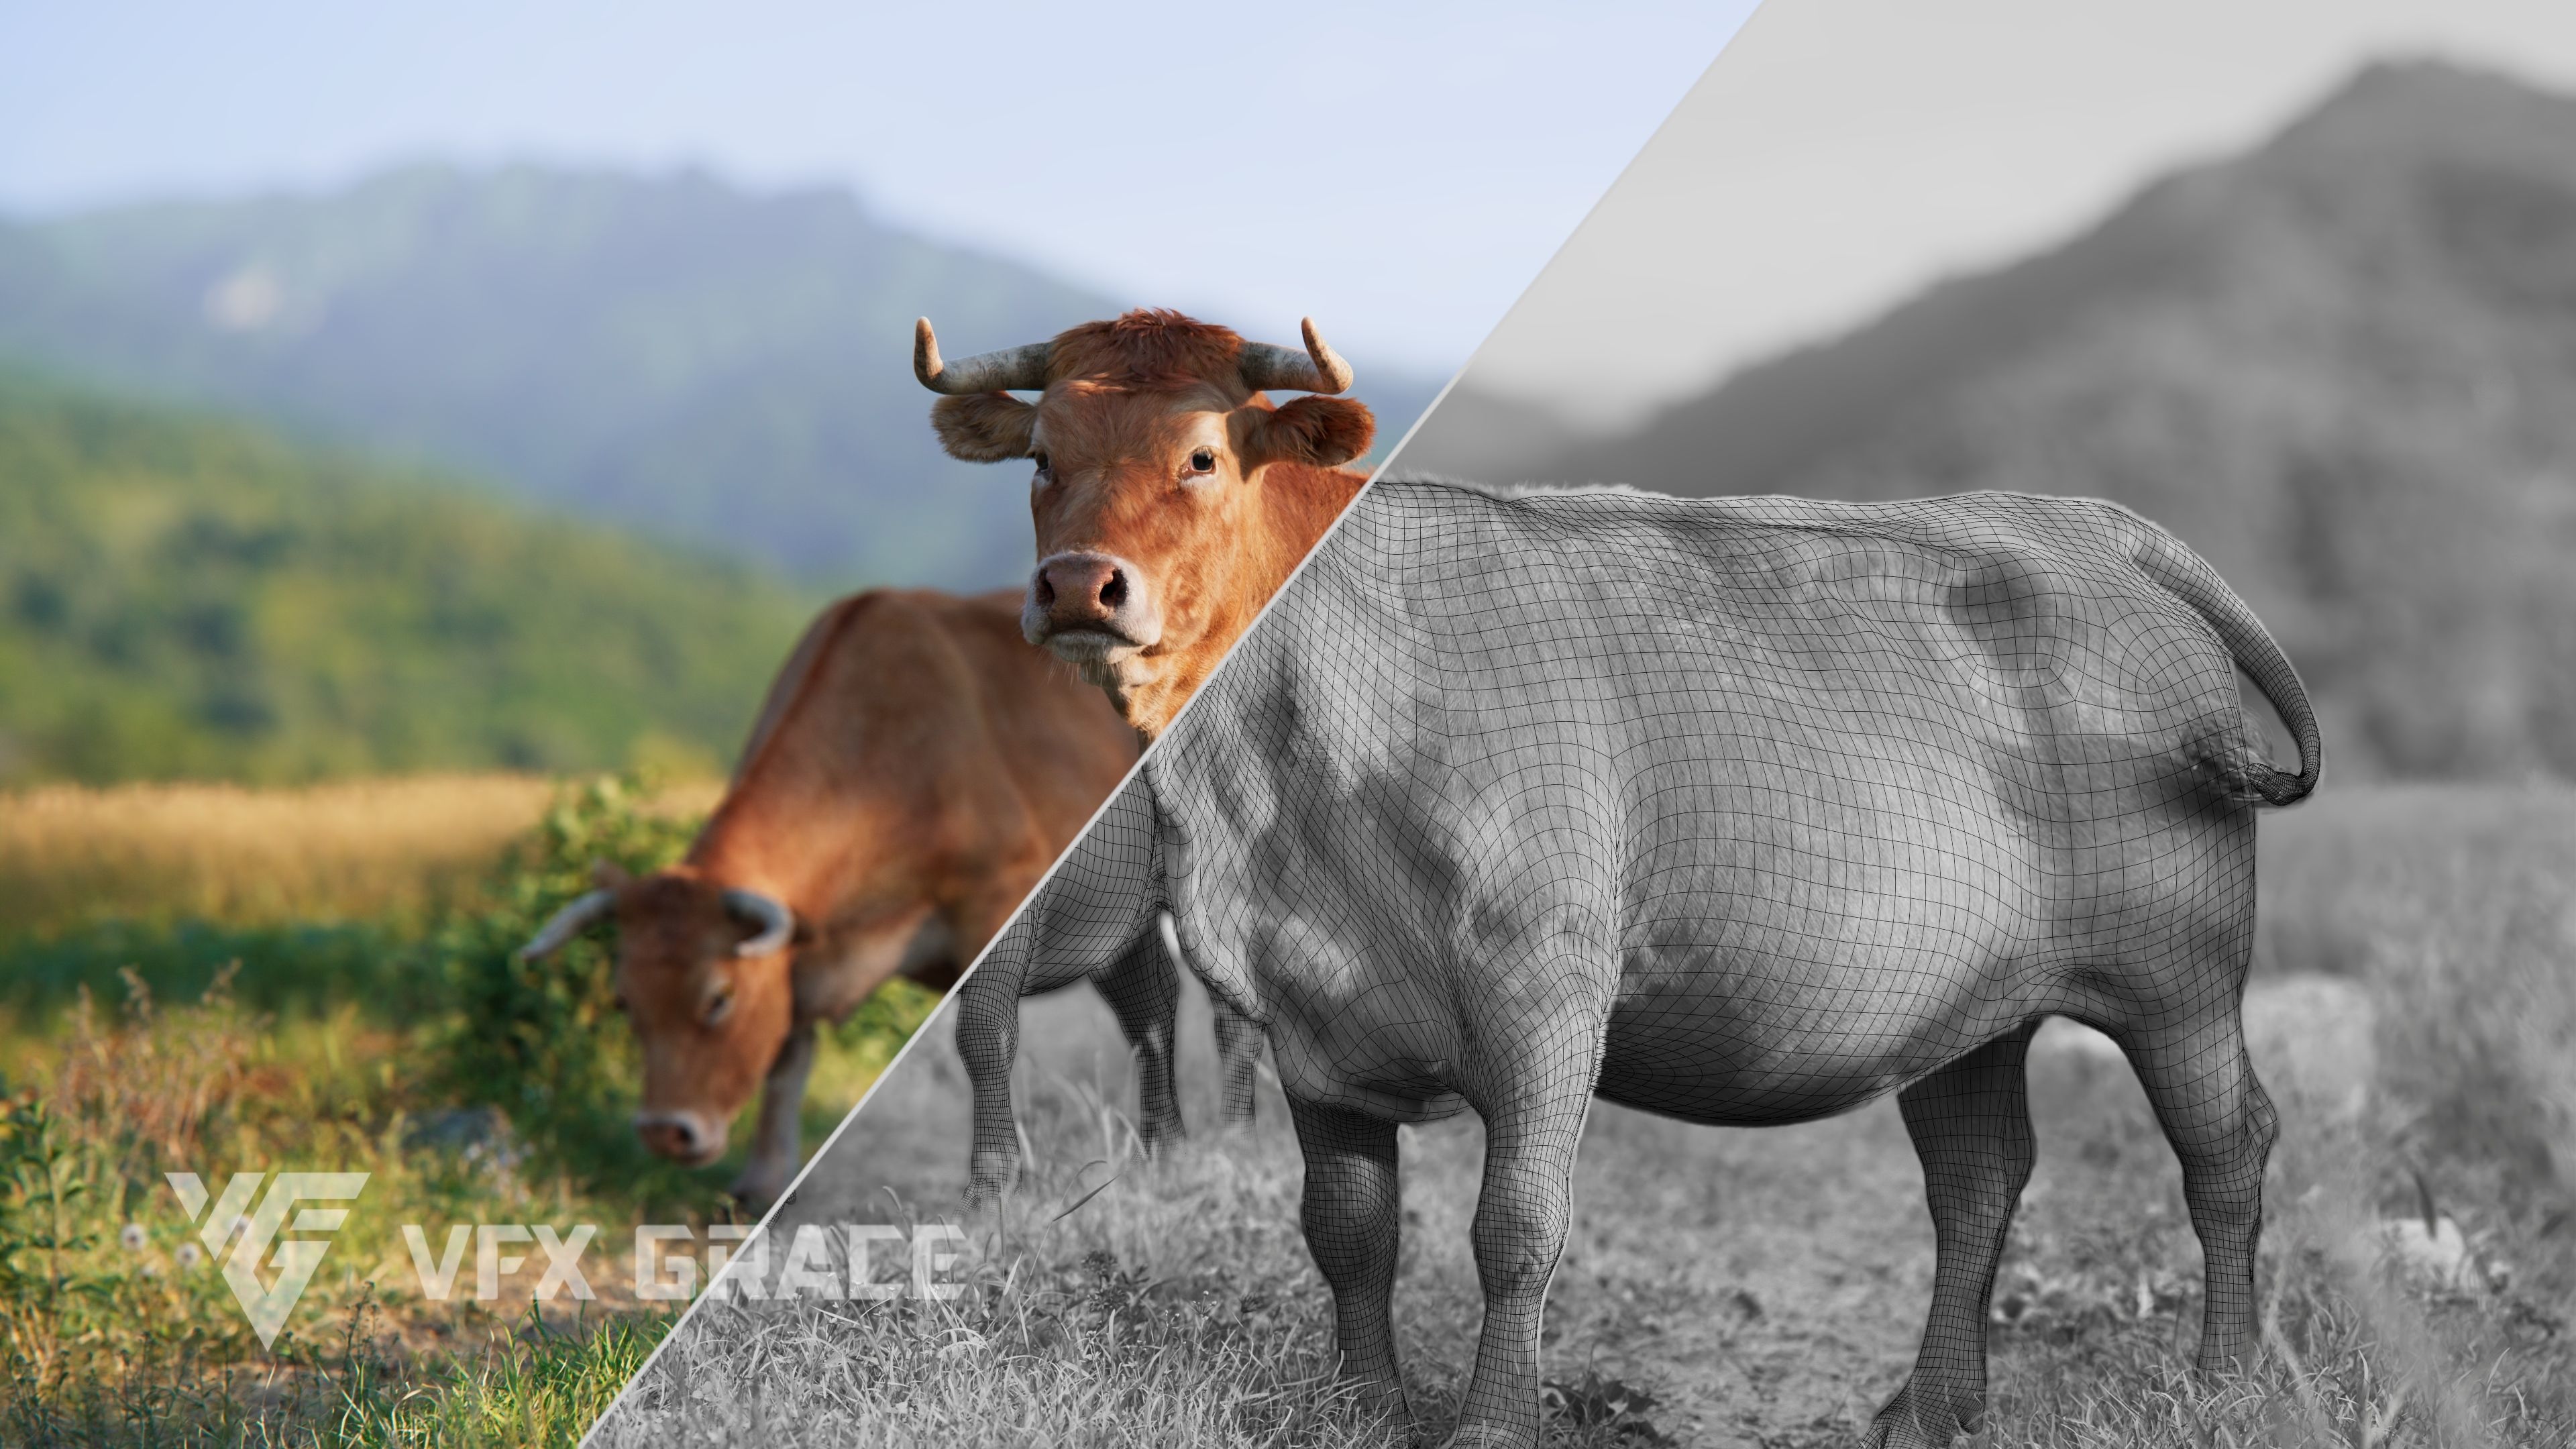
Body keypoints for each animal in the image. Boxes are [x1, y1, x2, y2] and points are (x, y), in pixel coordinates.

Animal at [516, 588, 1258, 1208]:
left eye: (719, 998)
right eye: (624, 1000)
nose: (664, 1132)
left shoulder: (999, 908)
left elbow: (984, 1037)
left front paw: (993, 1185)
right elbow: (786, 1057)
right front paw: (764, 1187)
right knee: (1151, 1010)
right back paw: (1166, 1151)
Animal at [952, 480, 2324, 1449]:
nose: (1079, 588)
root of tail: (2081, 522)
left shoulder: (1544, 993)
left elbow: (1514, 1223)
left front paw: (1491, 1425)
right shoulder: (1311, 1019)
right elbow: (1347, 1227)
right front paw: (1362, 1410)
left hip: (2180, 972)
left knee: (2226, 1149)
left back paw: (2223, 1387)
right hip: (1968, 1007)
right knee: (1979, 1180)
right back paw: (1929, 1411)